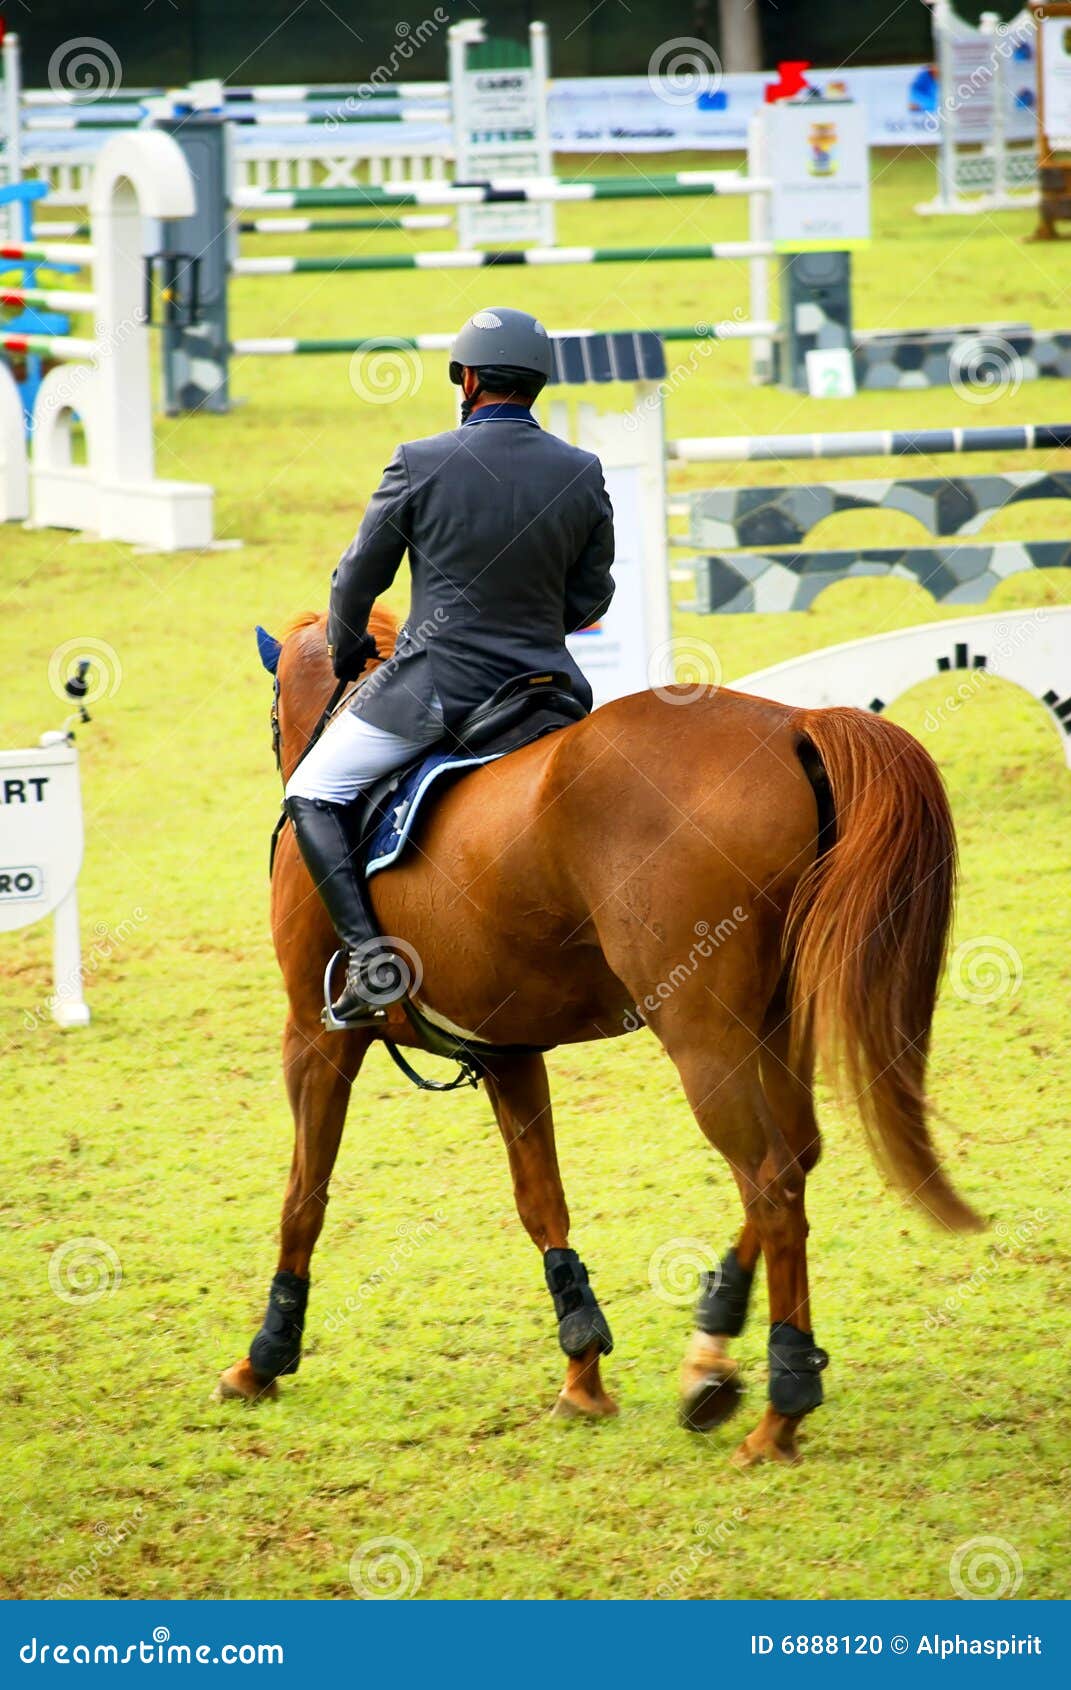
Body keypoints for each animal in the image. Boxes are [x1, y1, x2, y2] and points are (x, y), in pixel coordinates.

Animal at [217, 606, 981, 1466]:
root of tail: (790, 724)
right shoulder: (507, 1052)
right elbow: (541, 1203)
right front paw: (582, 1368)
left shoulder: (315, 1038)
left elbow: (303, 1197)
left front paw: (264, 1356)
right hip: (773, 1023)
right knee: (797, 1156)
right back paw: (710, 1362)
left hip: (703, 1036)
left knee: (771, 1181)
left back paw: (779, 1410)